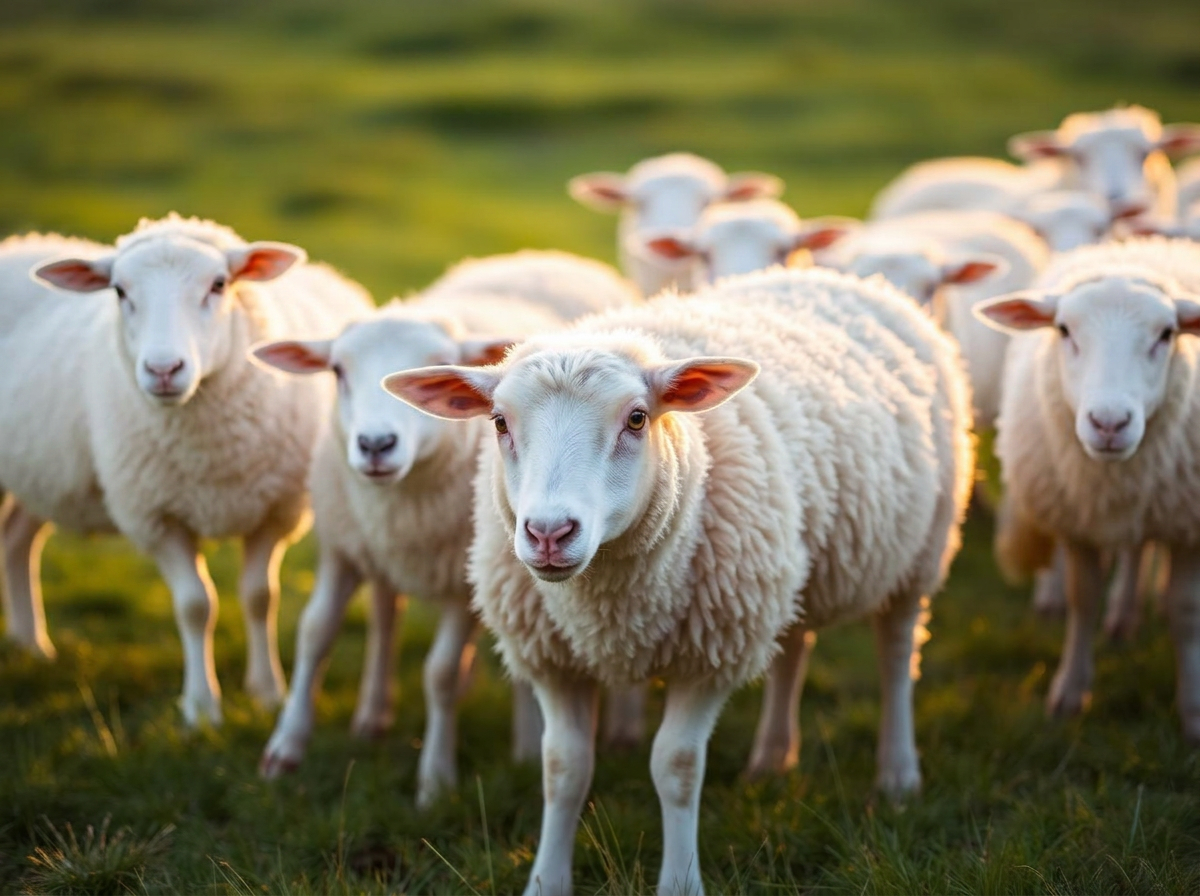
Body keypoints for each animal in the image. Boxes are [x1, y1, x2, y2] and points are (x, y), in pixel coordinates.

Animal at [0, 215, 373, 725]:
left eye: (219, 284)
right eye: (119, 290)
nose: (163, 369)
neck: (207, 454)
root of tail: (21, 243)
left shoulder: (275, 512)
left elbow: (260, 597)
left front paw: (266, 691)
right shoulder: (156, 516)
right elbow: (196, 606)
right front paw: (201, 708)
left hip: (42, 472)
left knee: (17, 539)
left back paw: (31, 646)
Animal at [252, 250, 639, 805]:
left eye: (434, 365)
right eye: (338, 371)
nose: (376, 444)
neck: (402, 500)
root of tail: (551, 256)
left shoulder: (461, 583)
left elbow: (440, 674)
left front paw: (435, 779)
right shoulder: (343, 549)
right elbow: (314, 635)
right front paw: (285, 747)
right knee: (386, 615)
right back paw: (375, 713)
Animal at [383, 266, 974, 896]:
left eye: (637, 418)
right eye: (498, 422)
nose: (548, 533)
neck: (606, 601)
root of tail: (842, 275)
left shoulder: (712, 652)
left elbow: (677, 768)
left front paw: (680, 882)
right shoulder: (552, 657)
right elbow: (563, 769)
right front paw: (546, 880)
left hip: (922, 551)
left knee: (896, 656)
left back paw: (897, 773)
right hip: (788, 566)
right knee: (794, 646)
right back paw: (771, 760)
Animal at [975, 237, 1200, 738]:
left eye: (1168, 334)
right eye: (1063, 330)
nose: (1109, 423)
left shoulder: (1185, 523)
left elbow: (1182, 610)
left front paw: (1193, 713)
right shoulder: (1078, 522)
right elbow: (1083, 600)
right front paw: (1069, 694)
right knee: (1134, 551)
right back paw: (1122, 618)